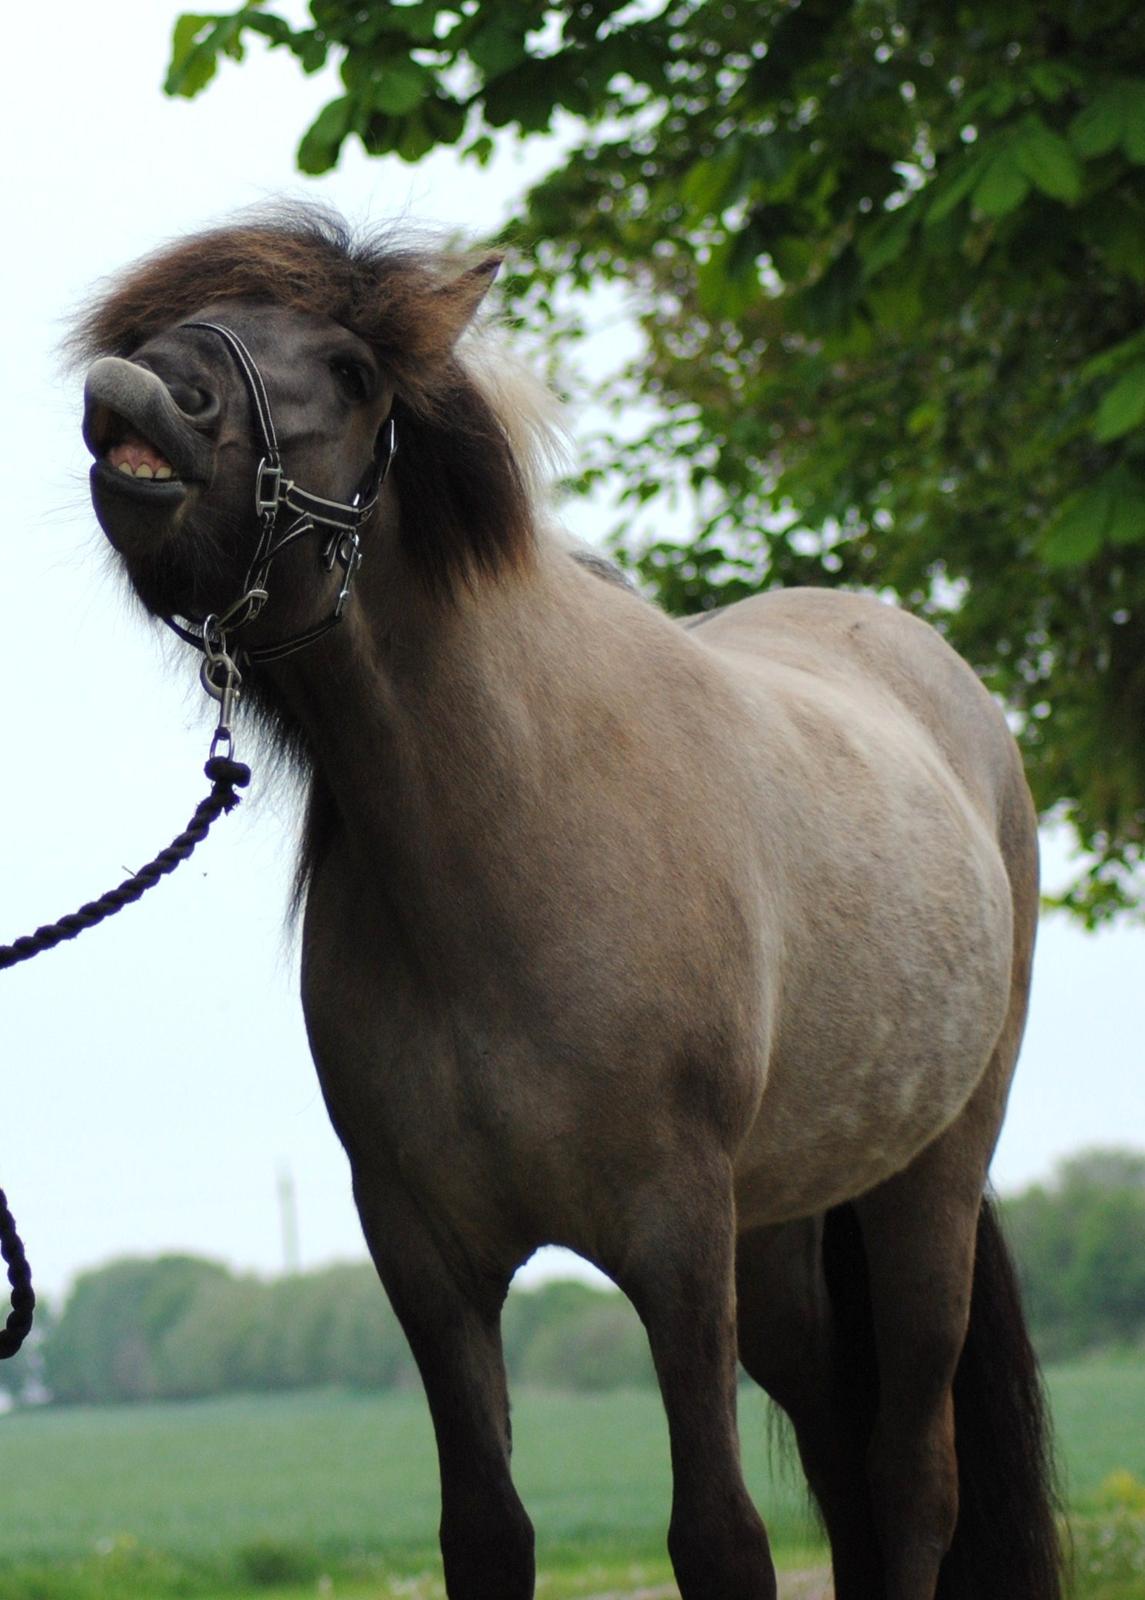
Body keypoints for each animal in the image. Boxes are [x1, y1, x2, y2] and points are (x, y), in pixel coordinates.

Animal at [75, 209, 1061, 1600]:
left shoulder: (674, 1239)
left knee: (911, 1476)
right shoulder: (426, 1257)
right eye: (165, 328)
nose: (140, 391)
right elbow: (485, 1532)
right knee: (841, 1449)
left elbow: (717, 1535)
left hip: (923, 1183)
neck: (506, 846)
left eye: (352, 370)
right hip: (781, 1233)